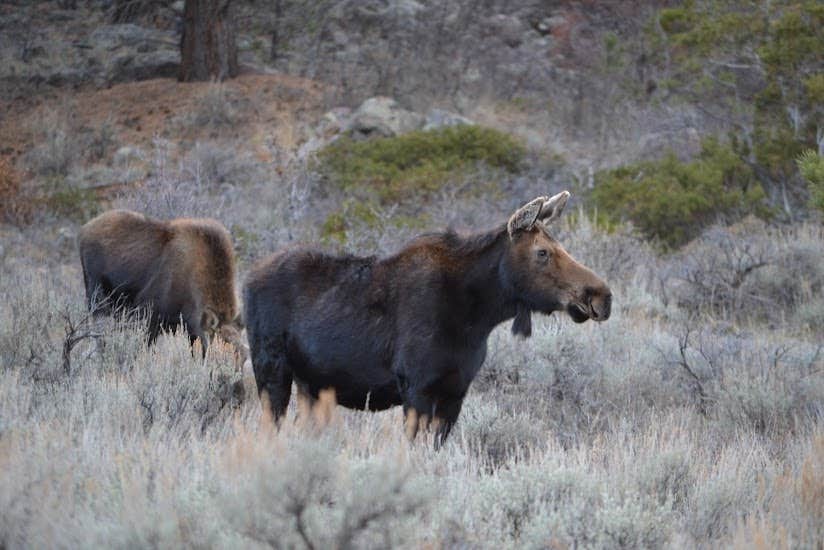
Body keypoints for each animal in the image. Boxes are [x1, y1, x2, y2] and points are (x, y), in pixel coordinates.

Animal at [241, 192, 608, 446]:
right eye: (542, 252)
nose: (602, 296)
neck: (476, 317)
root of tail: (247, 277)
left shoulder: (455, 393)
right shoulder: (417, 388)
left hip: (311, 385)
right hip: (271, 369)